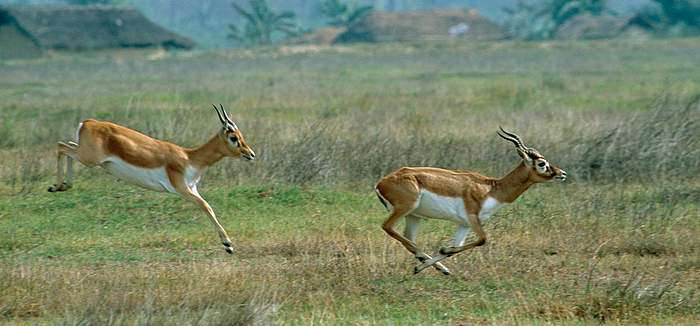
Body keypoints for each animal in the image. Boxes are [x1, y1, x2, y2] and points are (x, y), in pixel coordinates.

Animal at [49, 105, 258, 253]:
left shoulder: (192, 189)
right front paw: (228, 245)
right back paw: (56, 186)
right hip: (89, 158)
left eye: (241, 135)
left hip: (85, 154)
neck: (189, 158)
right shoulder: (182, 190)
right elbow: (206, 206)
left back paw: (63, 186)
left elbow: (208, 207)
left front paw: (228, 244)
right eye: (233, 137)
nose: (251, 154)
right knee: (61, 146)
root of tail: (87, 122)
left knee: (66, 144)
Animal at [374, 127, 568, 276]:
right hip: (405, 208)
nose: (562, 173)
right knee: (388, 228)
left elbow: (456, 246)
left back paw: (434, 267)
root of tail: (381, 182)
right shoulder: (473, 217)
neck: (492, 188)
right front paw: (443, 251)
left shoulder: (464, 224)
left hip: (415, 216)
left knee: (409, 239)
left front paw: (438, 262)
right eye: (542, 164)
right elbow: (482, 239)